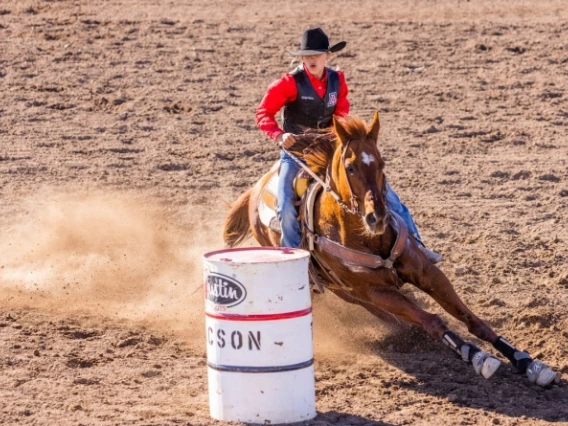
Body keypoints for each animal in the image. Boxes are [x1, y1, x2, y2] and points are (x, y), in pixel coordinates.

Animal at [222, 111, 560, 388]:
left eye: (381, 162)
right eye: (350, 167)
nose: (378, 217)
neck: (366, 236)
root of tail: (255, 190)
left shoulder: (425, 271)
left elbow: (471, 318)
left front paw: (528, 363)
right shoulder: (376, 289)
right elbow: (433, 320)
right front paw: (474, 354)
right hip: (347, 289)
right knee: (384, 312)